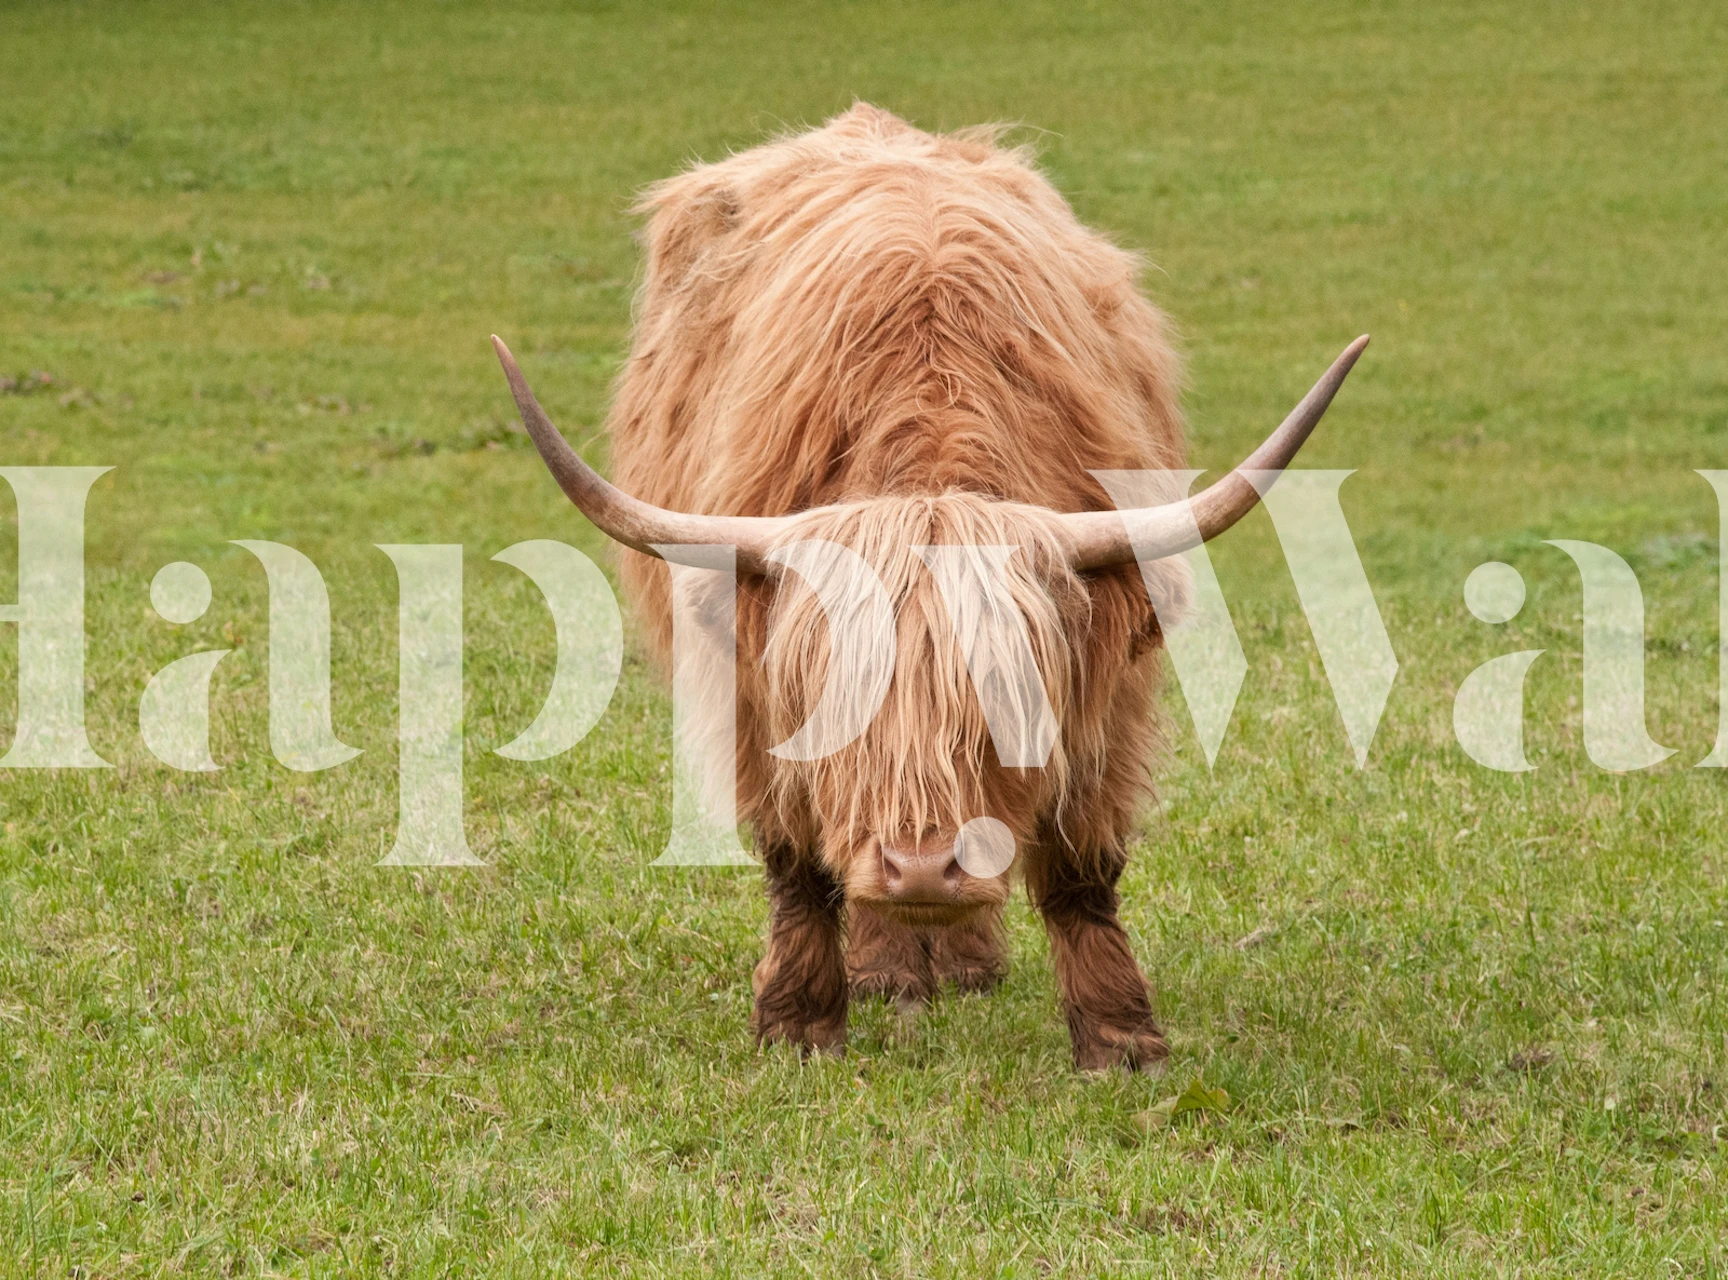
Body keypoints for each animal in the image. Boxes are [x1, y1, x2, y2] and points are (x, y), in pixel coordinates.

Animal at [491, 104, 1365, 1071]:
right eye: (838, 703)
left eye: (1009, 699)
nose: (920, 867)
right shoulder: (753, 687)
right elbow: (797, 864)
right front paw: (798, 1024)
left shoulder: (1111, 684)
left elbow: (1083, 869)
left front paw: (1121, 1039)